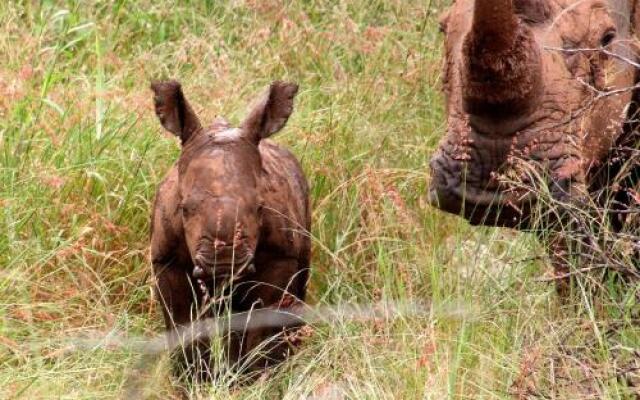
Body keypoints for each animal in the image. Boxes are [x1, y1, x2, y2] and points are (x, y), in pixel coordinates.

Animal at [149, 79, 312, 382]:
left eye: (260, 207)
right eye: (183, 208)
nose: (224, 263)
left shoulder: (281, 256)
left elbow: (264, 327)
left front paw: (256, 380)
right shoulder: (166, 260)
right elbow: (182, 323)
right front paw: (193, 381)